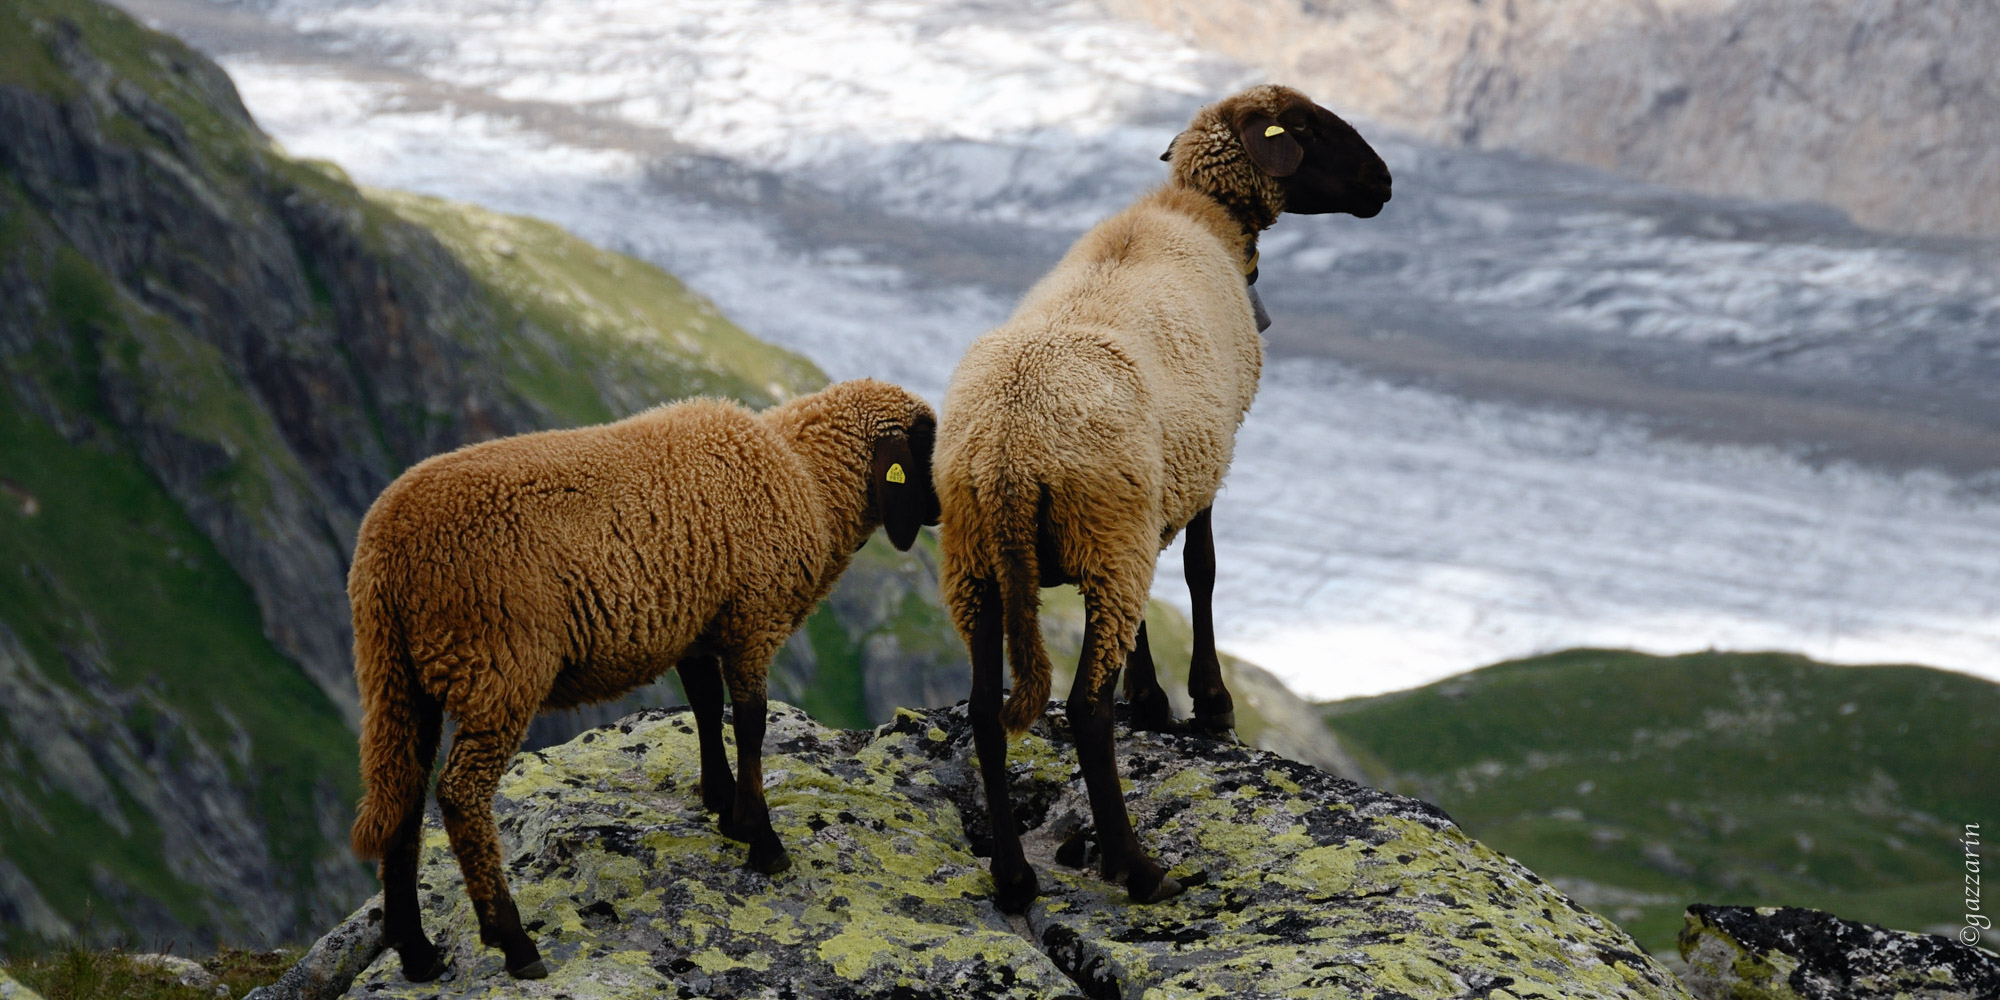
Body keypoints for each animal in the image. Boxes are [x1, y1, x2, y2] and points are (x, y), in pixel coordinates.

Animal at [346, 378, 936, 980]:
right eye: (926, 445)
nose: (939, 508)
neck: (807, 477)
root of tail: (382, 552)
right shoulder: (752, 619)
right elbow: (750, 725)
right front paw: (763, 840)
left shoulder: (697, 626)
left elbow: (706, 708)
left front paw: (723, 806)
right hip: (497, 666)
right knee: (460, 793)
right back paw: (513, 942)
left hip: (399, 674)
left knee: (402, 794)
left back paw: (417, 952)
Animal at [936, 86, 1392, 916]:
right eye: (1307, 127)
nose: (1385, 182)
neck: (1195, 215)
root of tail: (1010, 453)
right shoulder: (1208, 456)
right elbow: (1201, 572)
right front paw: (1209, 706)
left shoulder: (1149, 495)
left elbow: (1158, 602)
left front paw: (1152, 699)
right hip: (1094, 532)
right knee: (1086, 709)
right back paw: (1137, 868)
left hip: (985, 562)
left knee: (988, 710)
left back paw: (1014, 878)